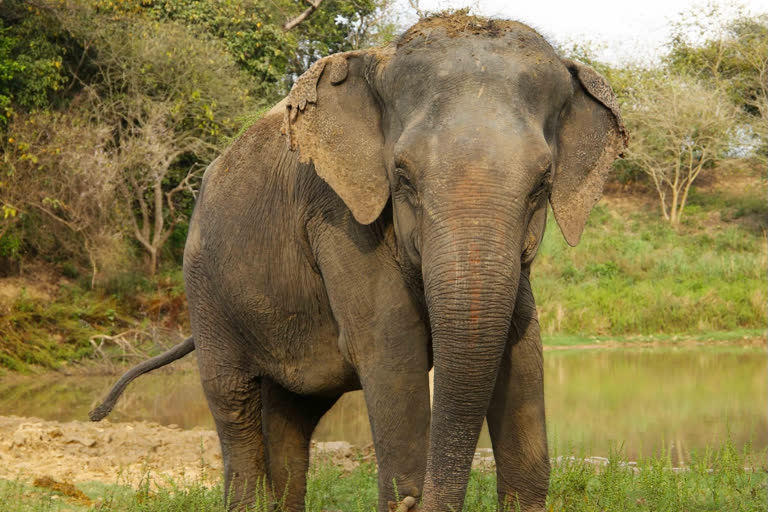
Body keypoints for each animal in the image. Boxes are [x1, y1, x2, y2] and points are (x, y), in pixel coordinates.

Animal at [91, 14, 624, 512]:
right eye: (402, 177)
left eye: (542, 183)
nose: (416, 502)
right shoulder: (337, 216)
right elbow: (390, 347)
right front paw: (405, 493)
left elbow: (523, 349)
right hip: (205, 287)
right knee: (232, 398)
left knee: (291, 416)